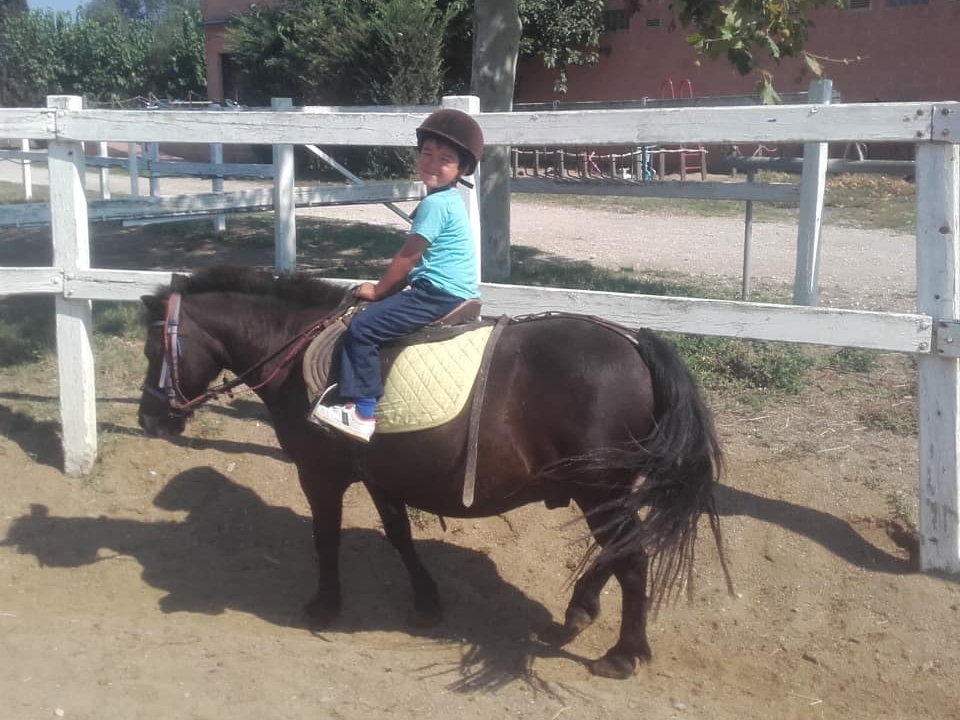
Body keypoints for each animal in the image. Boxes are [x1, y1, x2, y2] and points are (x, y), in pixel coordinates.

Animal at [137, 265, 732, 679]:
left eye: (151, 348)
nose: (149, 419)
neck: (298, 347)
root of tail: (635, 343)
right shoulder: (381, 475)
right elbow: (399, 535)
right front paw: (426, 602)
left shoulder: (320, 475)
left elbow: (326, 537)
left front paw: (325, 605)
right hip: (603, 493)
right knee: (619, 554)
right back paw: (579, 611)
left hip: (600, 491)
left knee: (631, 560)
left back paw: (624, 653)